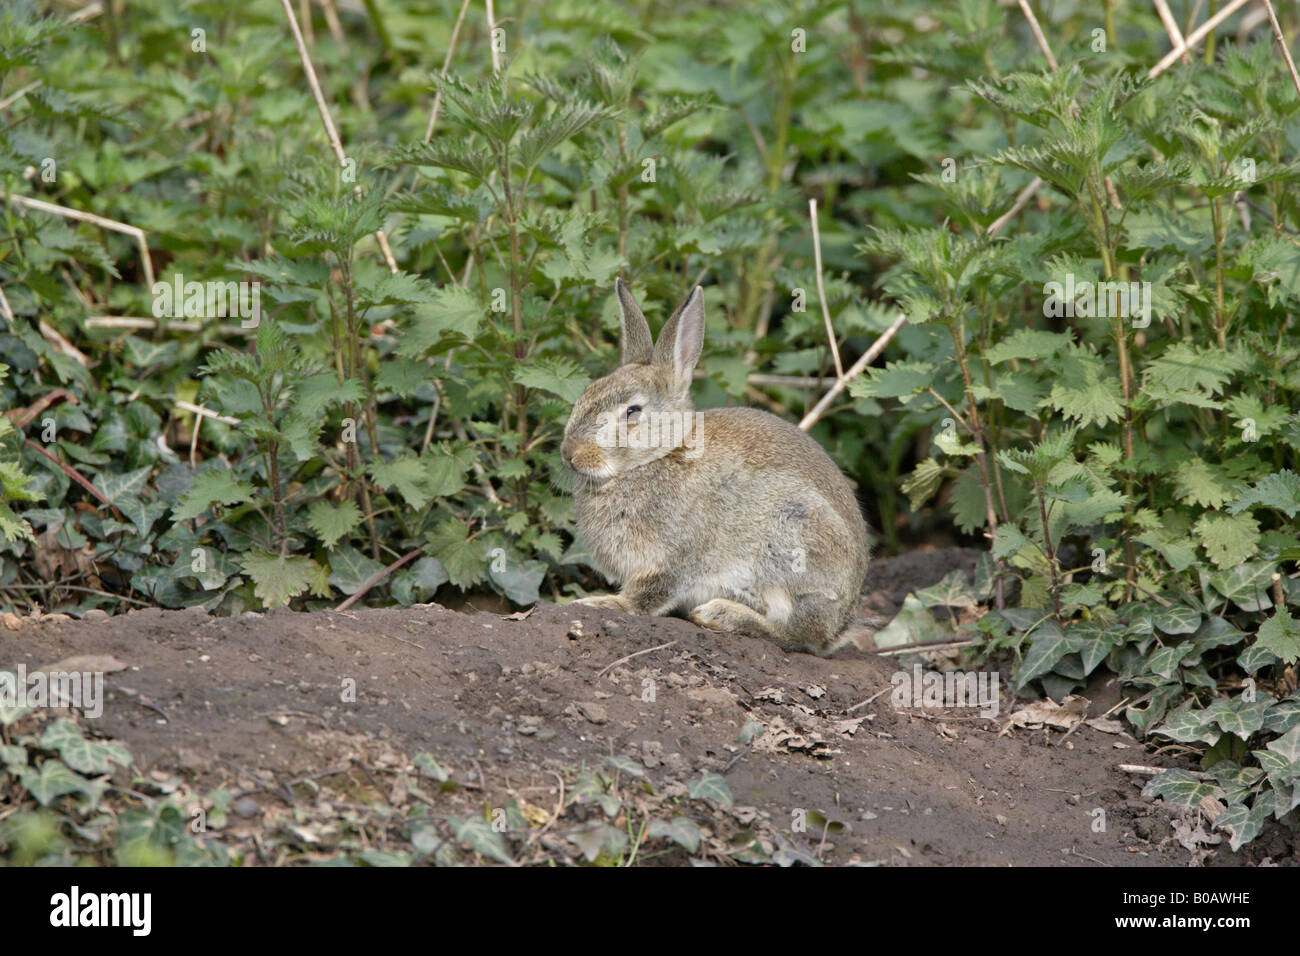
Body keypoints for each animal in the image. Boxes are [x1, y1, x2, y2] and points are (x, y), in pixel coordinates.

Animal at [560, 278, 870, 656]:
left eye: (632, 411)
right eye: (588, 393)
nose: (569, 453)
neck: (657, 457)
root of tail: (841, 623)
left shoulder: (671, 561)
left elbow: (647, 595)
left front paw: (600, 603)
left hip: (794, 538)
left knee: (800, 635)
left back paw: (723, 614)